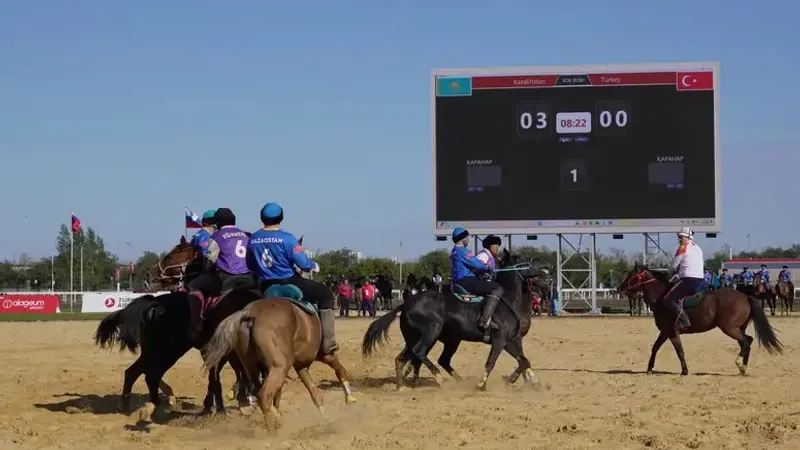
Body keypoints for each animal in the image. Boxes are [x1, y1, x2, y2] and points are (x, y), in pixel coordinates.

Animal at [202, 288, 354, 432]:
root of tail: (250, 314)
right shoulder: (324, 355)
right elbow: (340, 370)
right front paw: (350, 399)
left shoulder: (301, 365)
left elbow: (313, 392)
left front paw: (327, 419)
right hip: (280, 366)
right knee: (264, 395)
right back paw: (273, 432)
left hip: (251, 365)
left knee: (258, 391)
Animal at [362, 248, 552, 392]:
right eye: (525, 261)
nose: (547, 271)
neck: (508, 301)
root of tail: (406, 304)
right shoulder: (501, 340)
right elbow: (492, 362)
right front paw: (482, 384)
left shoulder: (513, 339)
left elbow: (524, 360)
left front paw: (532, 383)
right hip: (431, 333)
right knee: (420, 353)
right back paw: (439, 379)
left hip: (428, 339)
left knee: (406, 359)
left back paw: (403, 386)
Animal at [620, 264, 780, 376]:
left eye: (631, 276)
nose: (620, 287)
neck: (661, 297)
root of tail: (745, 296)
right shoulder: (665, 332)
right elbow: (655, 347)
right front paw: (649, 368)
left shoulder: (671, 332)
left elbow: (679, 351)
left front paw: (684, 371)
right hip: (738, 328)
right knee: (747, 341)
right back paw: (743, 368)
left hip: (729, 328)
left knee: (746, 341)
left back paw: (740, 364)